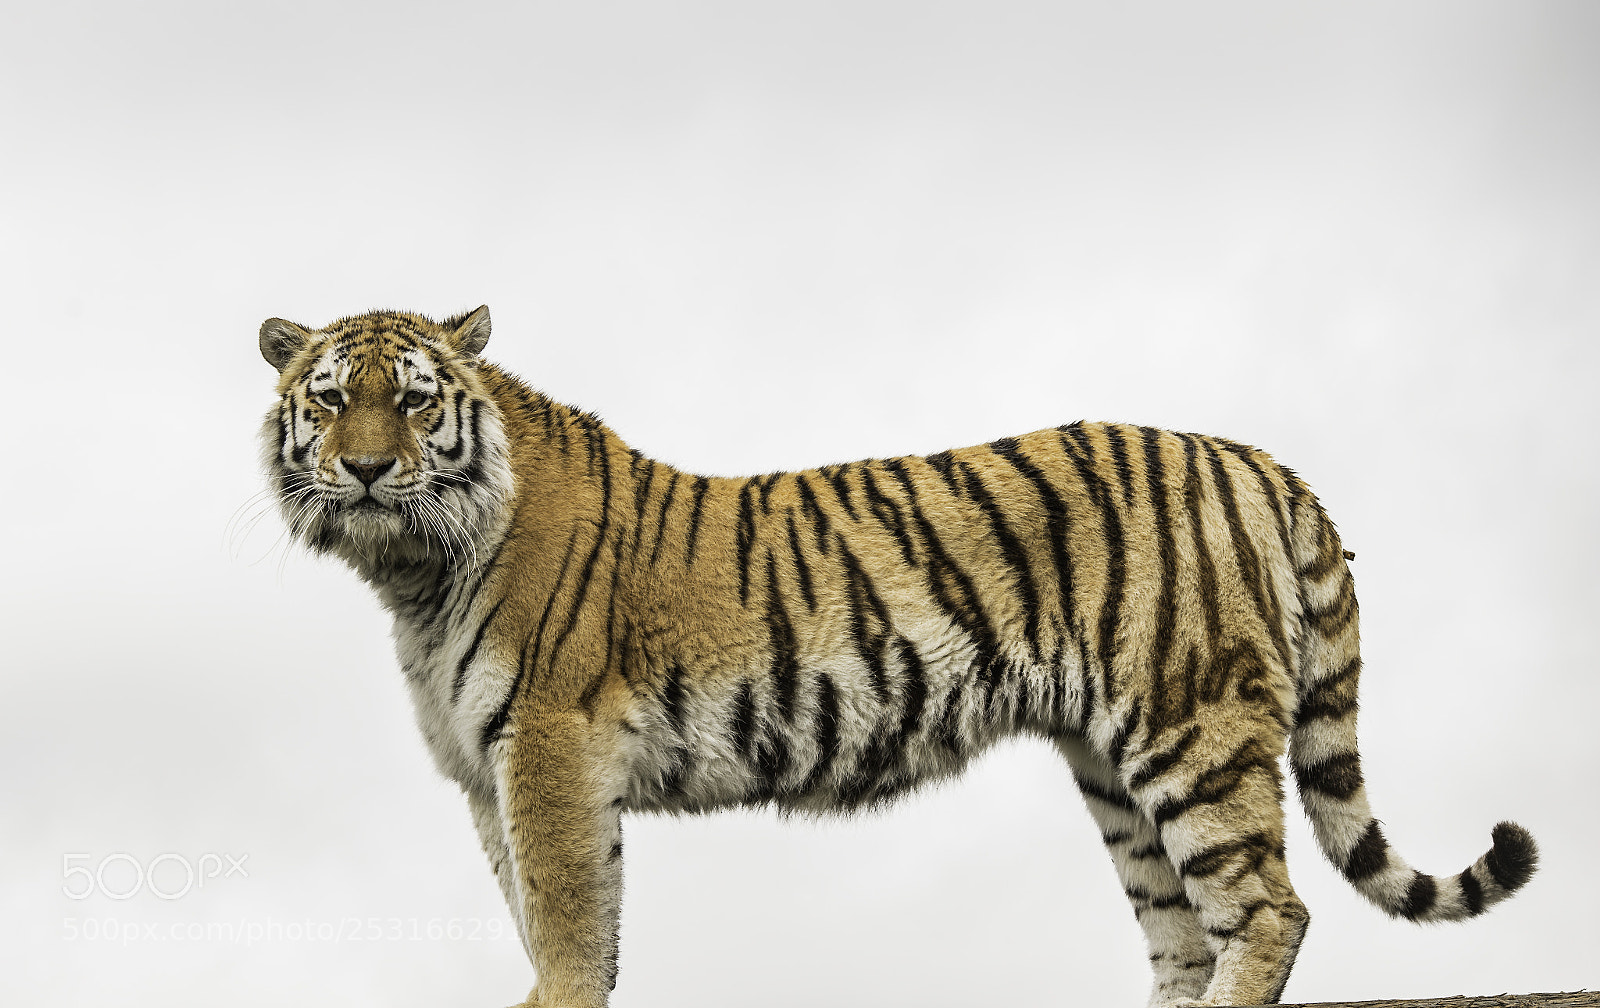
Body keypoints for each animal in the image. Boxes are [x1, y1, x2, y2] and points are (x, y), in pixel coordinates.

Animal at [258, 305, 1537, 1008]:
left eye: (414, 404)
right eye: (328, 400)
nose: (364, 469)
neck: (410, 573)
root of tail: (1258, 459)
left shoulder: (549, 749)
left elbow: (571, 918)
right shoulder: (494, 774)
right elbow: (542, 911)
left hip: (1193, 725)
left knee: (1268, 910)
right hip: (1111, 768)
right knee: (1181, 937)